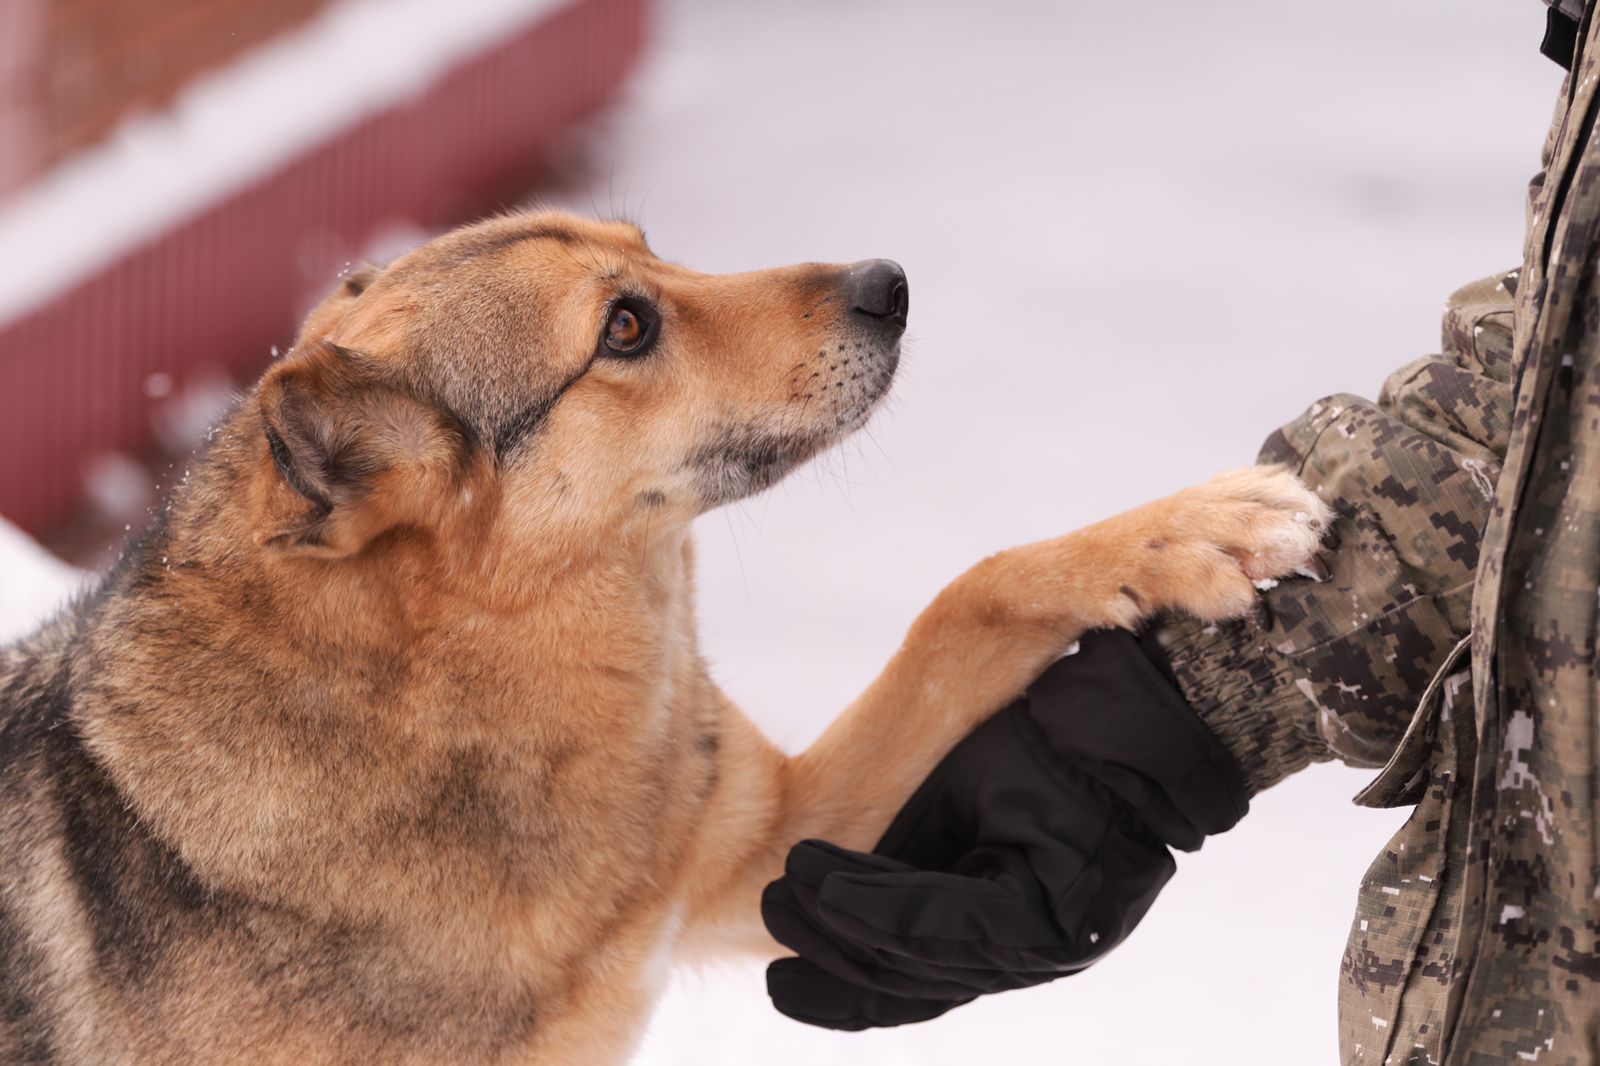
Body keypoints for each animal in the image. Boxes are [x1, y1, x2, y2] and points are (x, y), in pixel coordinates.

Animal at [0, 211, 1331, 1056]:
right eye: (625, 329)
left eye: (650, 250)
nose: (890, 283)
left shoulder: (778, 850)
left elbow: (969, 588)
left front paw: (1185, 528)